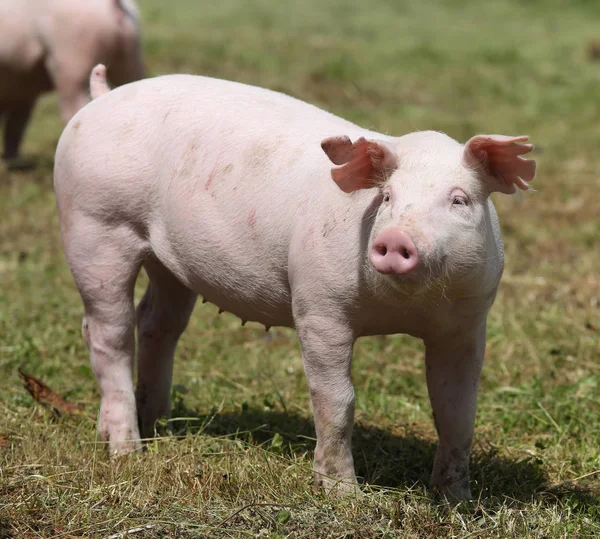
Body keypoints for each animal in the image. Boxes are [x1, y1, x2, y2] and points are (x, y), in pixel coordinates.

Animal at [0, 0, 144, 168]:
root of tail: (114, 4)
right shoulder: (24, 94)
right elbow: (15, 126)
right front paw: (13, 163)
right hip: (130, 57)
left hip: (72, 58)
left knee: (74, 107)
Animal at [54, 67, 536, 502]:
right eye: (387, 198)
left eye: (459, 200)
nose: (395, 239)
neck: (402, 310)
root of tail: (102, 97)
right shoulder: (319, 308)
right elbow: (336, 400)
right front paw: (345, 496)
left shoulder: (466, 324)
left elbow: (457, 410)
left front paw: (456, 500)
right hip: (96, 226)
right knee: (108, 333)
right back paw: (126, 451)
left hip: (167, 262)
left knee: (157, 324)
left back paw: (162, 428)